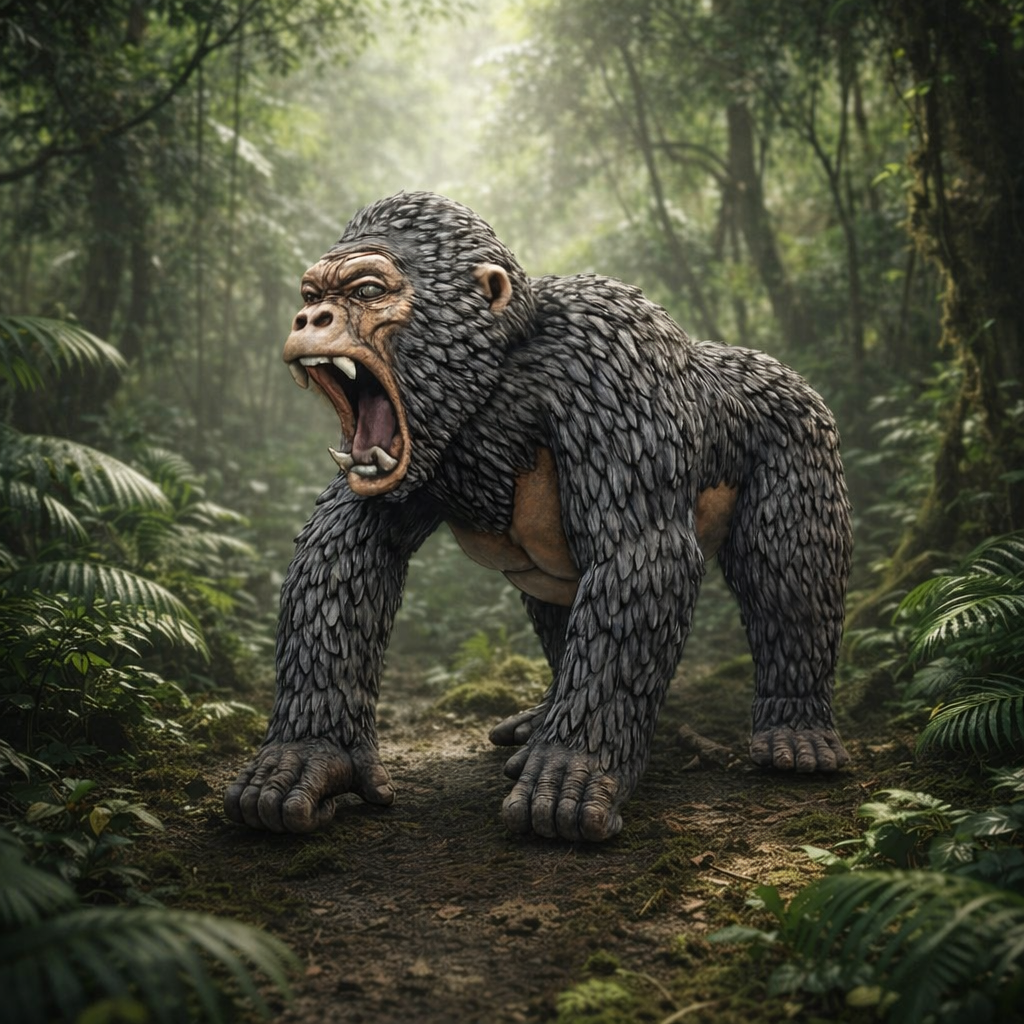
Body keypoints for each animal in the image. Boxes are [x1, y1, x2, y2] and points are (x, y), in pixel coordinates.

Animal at [224, 191, 852, 843]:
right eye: (311, 295)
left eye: (367, 290)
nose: (307, 320)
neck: (496, 374)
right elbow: (344, 548)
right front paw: (309, 754)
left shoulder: (608, 355)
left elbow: (639, 553)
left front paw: (574, 769)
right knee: (559, 598)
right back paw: (544, 717)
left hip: (800, 419)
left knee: (786, 573)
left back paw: (795, 731)